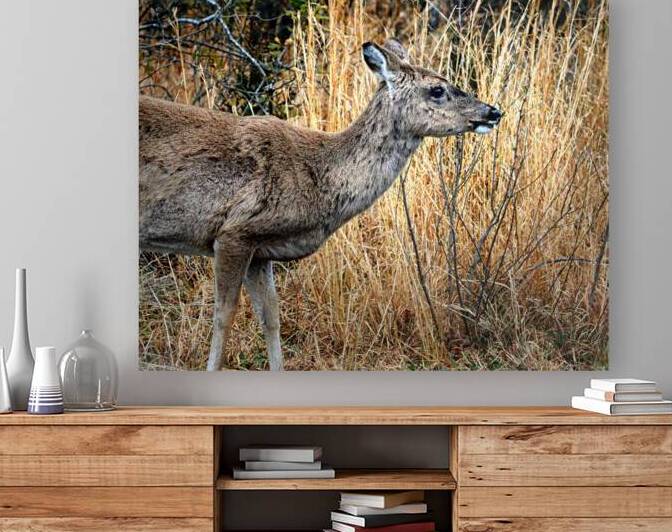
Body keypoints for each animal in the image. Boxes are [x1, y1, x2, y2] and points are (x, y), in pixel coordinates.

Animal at [139, 39, 502, 371]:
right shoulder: (232, 233)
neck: (320, 178)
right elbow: (224, 317)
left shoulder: (260, 249)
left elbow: (271, 318)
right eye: (437, 89)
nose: (492, 111)